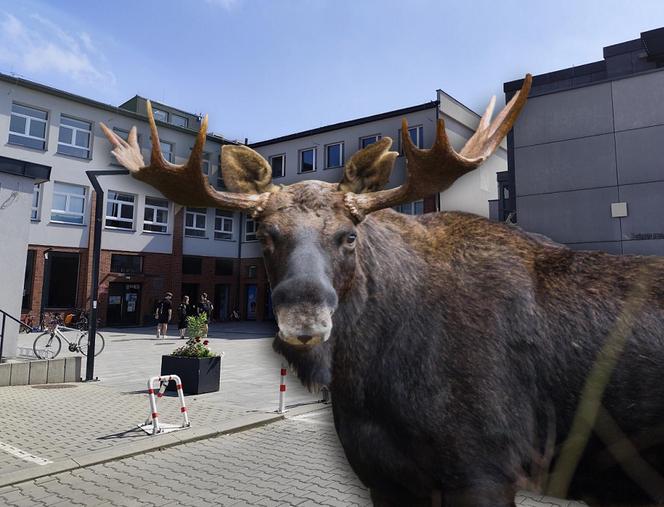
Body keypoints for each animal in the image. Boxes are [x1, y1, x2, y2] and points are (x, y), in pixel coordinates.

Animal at [101, 73, 664, 506]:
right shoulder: (382, 475)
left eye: (350, 235)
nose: (303, 317)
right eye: (264, 234)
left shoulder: (485, 465)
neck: (375, 385)